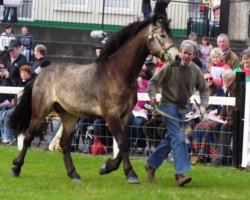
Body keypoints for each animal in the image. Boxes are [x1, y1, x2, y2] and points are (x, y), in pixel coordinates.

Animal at [9, 15, 178, 184]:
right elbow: (122, 143)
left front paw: (107, 167)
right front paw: (130, 174)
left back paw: (74, 174)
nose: (177, 57)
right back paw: (16, 168)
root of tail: (41, 74)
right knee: (28, 136)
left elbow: (125, 143)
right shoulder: (111, 115)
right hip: (40, 112)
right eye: (162, 35)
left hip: (68, 115)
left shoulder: (125, 116)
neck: (117, 74)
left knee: (65, 143)